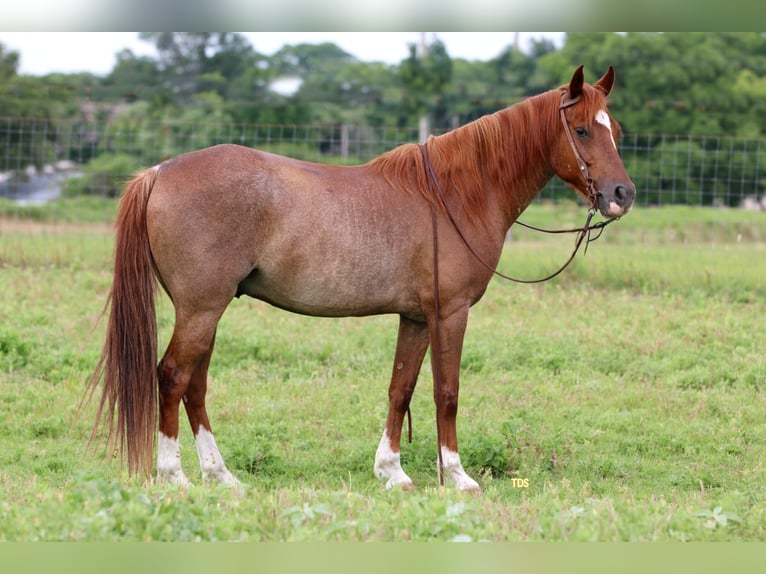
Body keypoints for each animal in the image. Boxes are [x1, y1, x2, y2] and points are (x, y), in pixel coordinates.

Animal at [86, 65, 635, 493]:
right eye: (582, 130)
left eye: (616, 129)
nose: (622, 194)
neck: (455, 194)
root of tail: (158, 172)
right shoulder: (449, 313)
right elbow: (447, 392)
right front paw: (458, 477)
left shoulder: (416, 317)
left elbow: (401, 389)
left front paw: (392, 472)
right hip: (201, 308)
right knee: (173, 376)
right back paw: (174, 476)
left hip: (206, 310)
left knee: (195, 385)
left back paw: (222, 476)